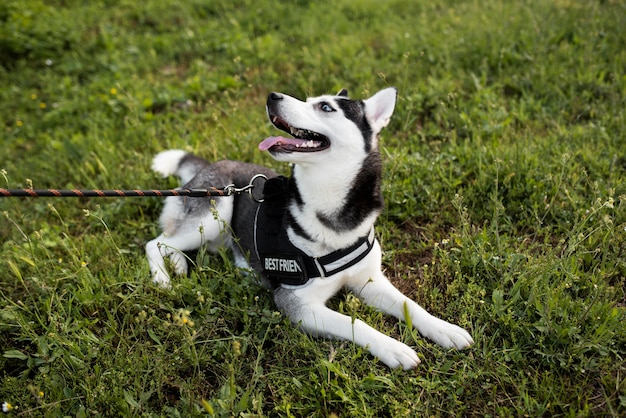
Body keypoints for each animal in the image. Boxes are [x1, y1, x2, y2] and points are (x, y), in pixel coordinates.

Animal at [144, 88, 470, 370]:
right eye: (310, 99)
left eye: (325, 107)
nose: (272, 96)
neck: (330, 211)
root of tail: (209, 166)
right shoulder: (298, 304)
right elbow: (355, 322)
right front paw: (393, 347)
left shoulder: (370, 281)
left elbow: (410, 305)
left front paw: (444, 329)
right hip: (217, 210)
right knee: (155, 242)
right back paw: (163, 279)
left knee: (172, 243)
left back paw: (179, 266)